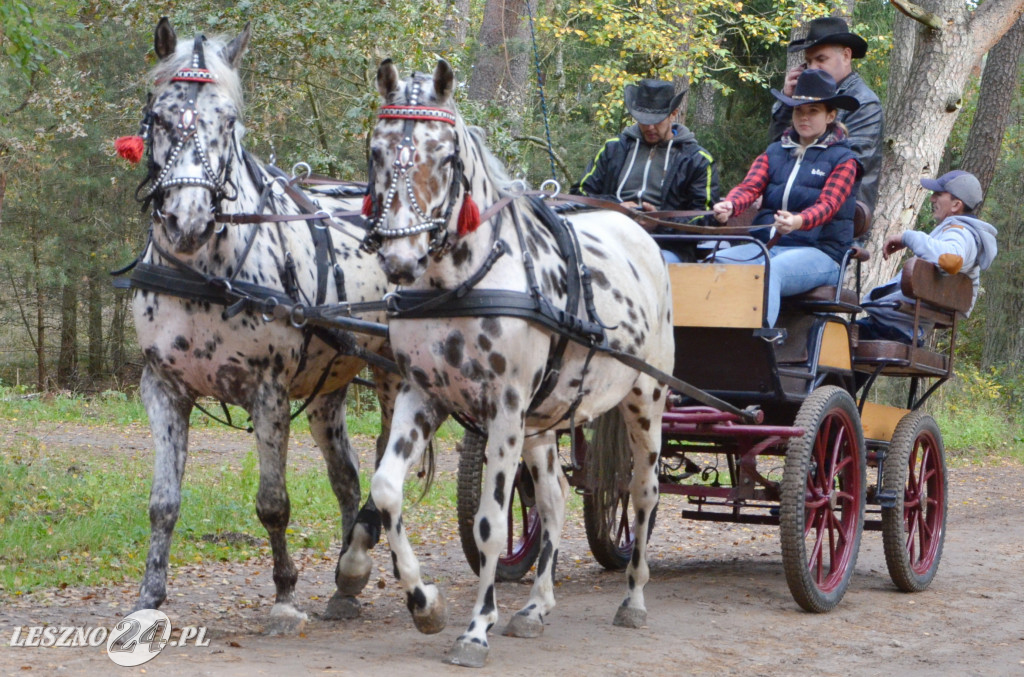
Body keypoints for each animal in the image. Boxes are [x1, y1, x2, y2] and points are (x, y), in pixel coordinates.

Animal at [115, 19, 395, 635]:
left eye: (227, 121)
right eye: (161, 117)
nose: (188, 219)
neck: (204, 273)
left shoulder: (268, 391)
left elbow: (273, 503)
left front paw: (285, 594)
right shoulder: (163, 390)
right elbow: (162, 504)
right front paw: (150, 597)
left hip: (398, 377)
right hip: (328, 390)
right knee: (347, 476)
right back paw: (348, 579)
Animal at [364, 60, 675, 667]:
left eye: (445, 156)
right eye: (376, 150)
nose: (399, 258)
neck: (462, 283)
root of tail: (640, 232)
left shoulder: (504, 411)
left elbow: (489, 523)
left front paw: (476, 629)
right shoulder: (423, 395)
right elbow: (387, 491)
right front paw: (424, 603)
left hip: (645, 400)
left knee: (643, 494)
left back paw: (634, 599)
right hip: (544, 421)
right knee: (553, 501)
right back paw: (536, 607)